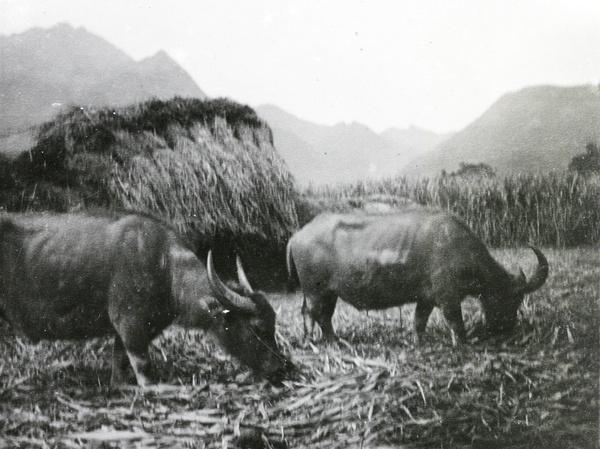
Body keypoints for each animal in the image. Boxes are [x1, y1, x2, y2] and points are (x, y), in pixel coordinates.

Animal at [0, 212, 290, 384]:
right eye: (256, 327)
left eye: (273, 324)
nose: (280, 368)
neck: (165, 267)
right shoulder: (131, 325)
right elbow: (144, 368)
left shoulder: (125, 331)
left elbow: (119, 361)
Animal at [286, 210, 548, 344]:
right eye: (509, 298)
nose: (506, 328)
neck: (457, 247)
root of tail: (298, 234)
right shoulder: (448, 298)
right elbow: (456, 323)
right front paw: (462, 343)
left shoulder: (426, 298)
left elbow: (419, 321)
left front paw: (418, 341)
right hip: (315, 290)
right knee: (310, 312)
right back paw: (311, 341)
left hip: (329, 292)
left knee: (324, 316)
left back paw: (334, 340)